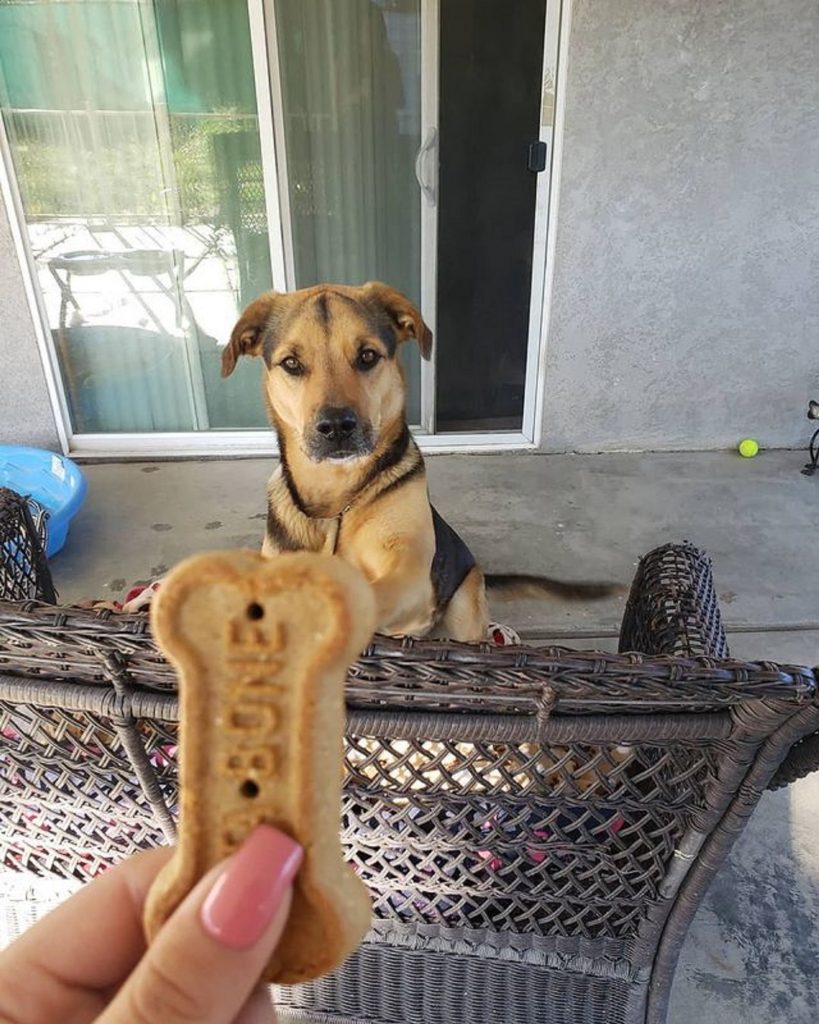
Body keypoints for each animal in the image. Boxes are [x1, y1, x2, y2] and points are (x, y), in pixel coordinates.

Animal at [221, 280, 618, 643]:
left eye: (367, 356)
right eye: (291, 363)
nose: (336, 427)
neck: (338, 499)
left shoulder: (409, 569)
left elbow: (370, 592)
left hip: (463, 610)